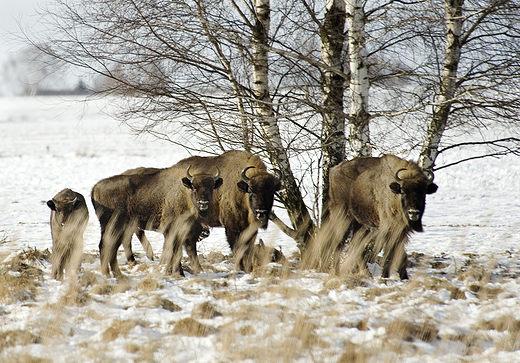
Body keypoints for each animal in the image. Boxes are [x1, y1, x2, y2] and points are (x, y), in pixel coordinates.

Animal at [91, 161, 221, 278]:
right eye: (193, 186)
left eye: (211, 188)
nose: (203, 203)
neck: (183, 193)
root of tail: (95, 188)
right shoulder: (170, 231)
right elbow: (174, 251)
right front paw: (177, 272)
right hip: (114, 226)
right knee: (107, 246)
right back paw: (110, 274)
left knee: (110, 247)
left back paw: (113, 274)